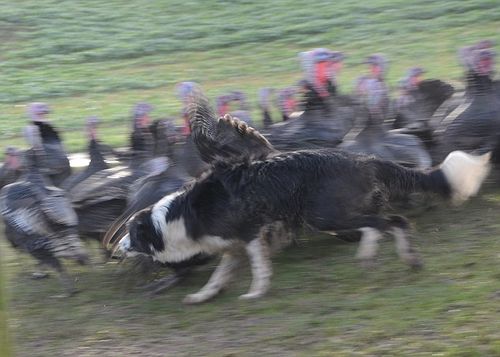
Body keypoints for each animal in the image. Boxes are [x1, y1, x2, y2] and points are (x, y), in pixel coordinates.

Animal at [115, 145, 490, 304]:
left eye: (131, 235)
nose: (116, 250)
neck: (173, 218)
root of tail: (364, 158)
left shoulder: (249, 234)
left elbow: (259, 268)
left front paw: (256, 292)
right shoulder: (232, 245)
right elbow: (218, 276)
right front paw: (202, 296)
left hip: (325, 213)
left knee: (384, 222)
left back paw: (380, 256)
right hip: (339, 211)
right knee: (392, 221)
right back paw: (394, 258)